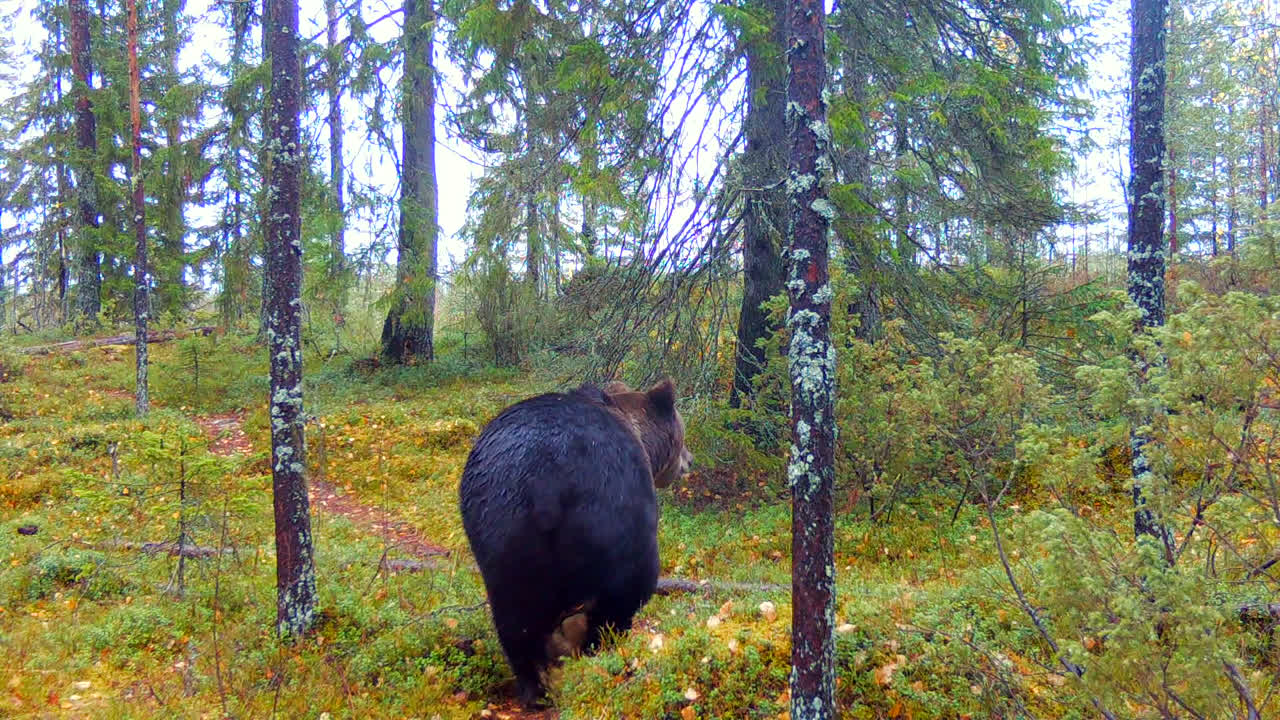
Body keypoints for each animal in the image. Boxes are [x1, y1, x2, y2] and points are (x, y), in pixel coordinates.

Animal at [459, 378, 692, 705]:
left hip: (498, 524)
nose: (689, 459)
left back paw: (535, 688)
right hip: (611, 507)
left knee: (513, 618)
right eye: (682, 434)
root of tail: (543, 484)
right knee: (624, 593)